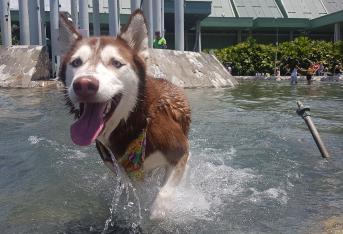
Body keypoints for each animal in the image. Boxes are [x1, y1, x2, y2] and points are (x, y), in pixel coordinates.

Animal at [59, 10, 194, 218]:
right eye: (76, 62)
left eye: (116, 63)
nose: (84, 84)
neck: (133, 124)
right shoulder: (121, 171)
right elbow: (130, 193)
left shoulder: (180, 152)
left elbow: (162, 197)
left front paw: (157, 212)